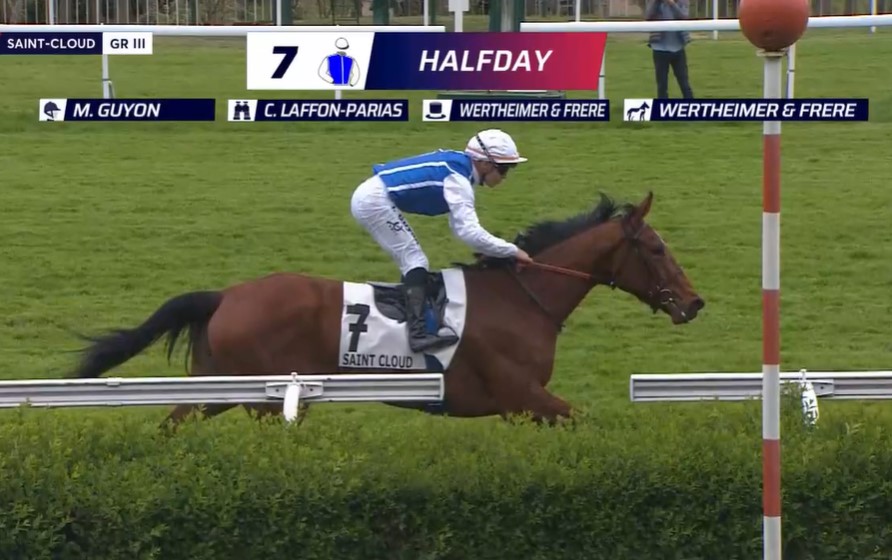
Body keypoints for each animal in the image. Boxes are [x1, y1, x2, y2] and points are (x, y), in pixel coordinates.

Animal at [68, 191, 705, 429]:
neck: (524, 299)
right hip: (260, 396)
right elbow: (584, 421)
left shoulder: (521, 406)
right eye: (656, 249)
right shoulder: (523, 395)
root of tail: (227, 294)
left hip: (218, 386)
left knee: (171, 424)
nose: (695, 303)